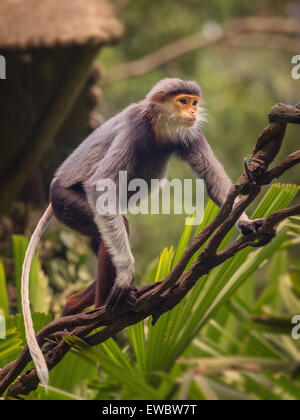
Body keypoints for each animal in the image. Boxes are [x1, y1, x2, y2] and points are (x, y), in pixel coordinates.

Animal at [20, 77, 264, 386]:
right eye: (183, 101)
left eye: (194, 102)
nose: (193, 111)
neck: (157, 128)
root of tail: (54, 187)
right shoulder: (135, 127)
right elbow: (101, 187)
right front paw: (125, 277)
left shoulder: (189, 134)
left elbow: (217, 185)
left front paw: (246, 223)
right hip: (67, 202)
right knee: (114, 221)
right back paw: (102, 308)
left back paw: (74, 308)